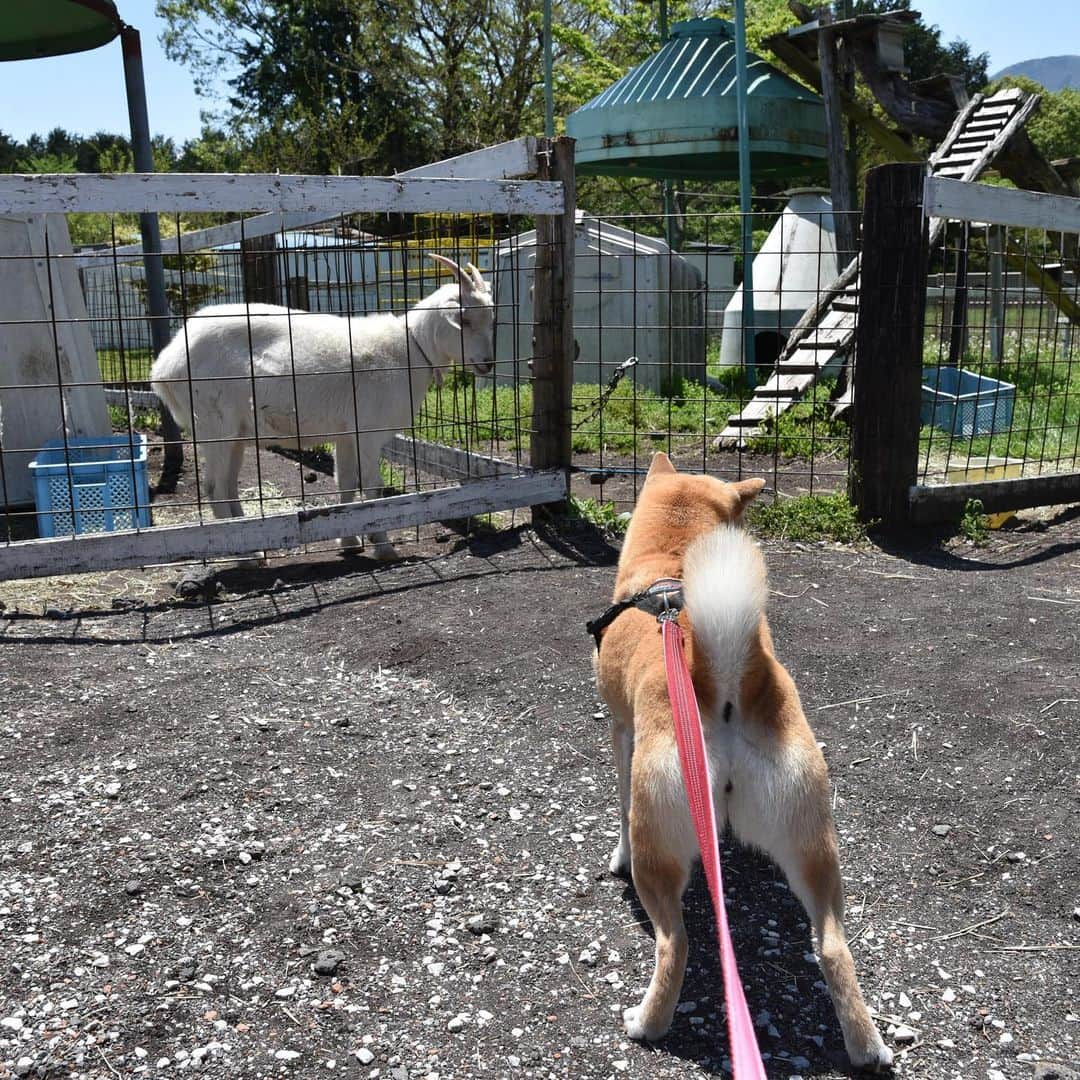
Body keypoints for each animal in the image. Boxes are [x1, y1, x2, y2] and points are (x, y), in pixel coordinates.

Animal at [150, 252, 494, 557]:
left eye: (490, 317)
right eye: (464, 320)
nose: (487, 364)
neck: (409, 349)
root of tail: (164, 366)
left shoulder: (346, 434)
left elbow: (346, 484)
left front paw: (350, 541)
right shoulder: (368, 433)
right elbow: (373, 488)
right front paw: (383, 546)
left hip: (235, 433)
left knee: (228, 484)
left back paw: (252, 546)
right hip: (213, 424)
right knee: (214, 488)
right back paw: (246, 556)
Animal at [596, 451, 889, 1067]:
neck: (671, 564)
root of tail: (724, 683)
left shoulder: (620, 731)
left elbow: (618, 806)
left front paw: (616, 853)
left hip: (661, 847)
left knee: (677, 944)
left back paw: (647, 1022)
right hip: (813, 843)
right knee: (833, 947)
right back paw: (867, 1045)